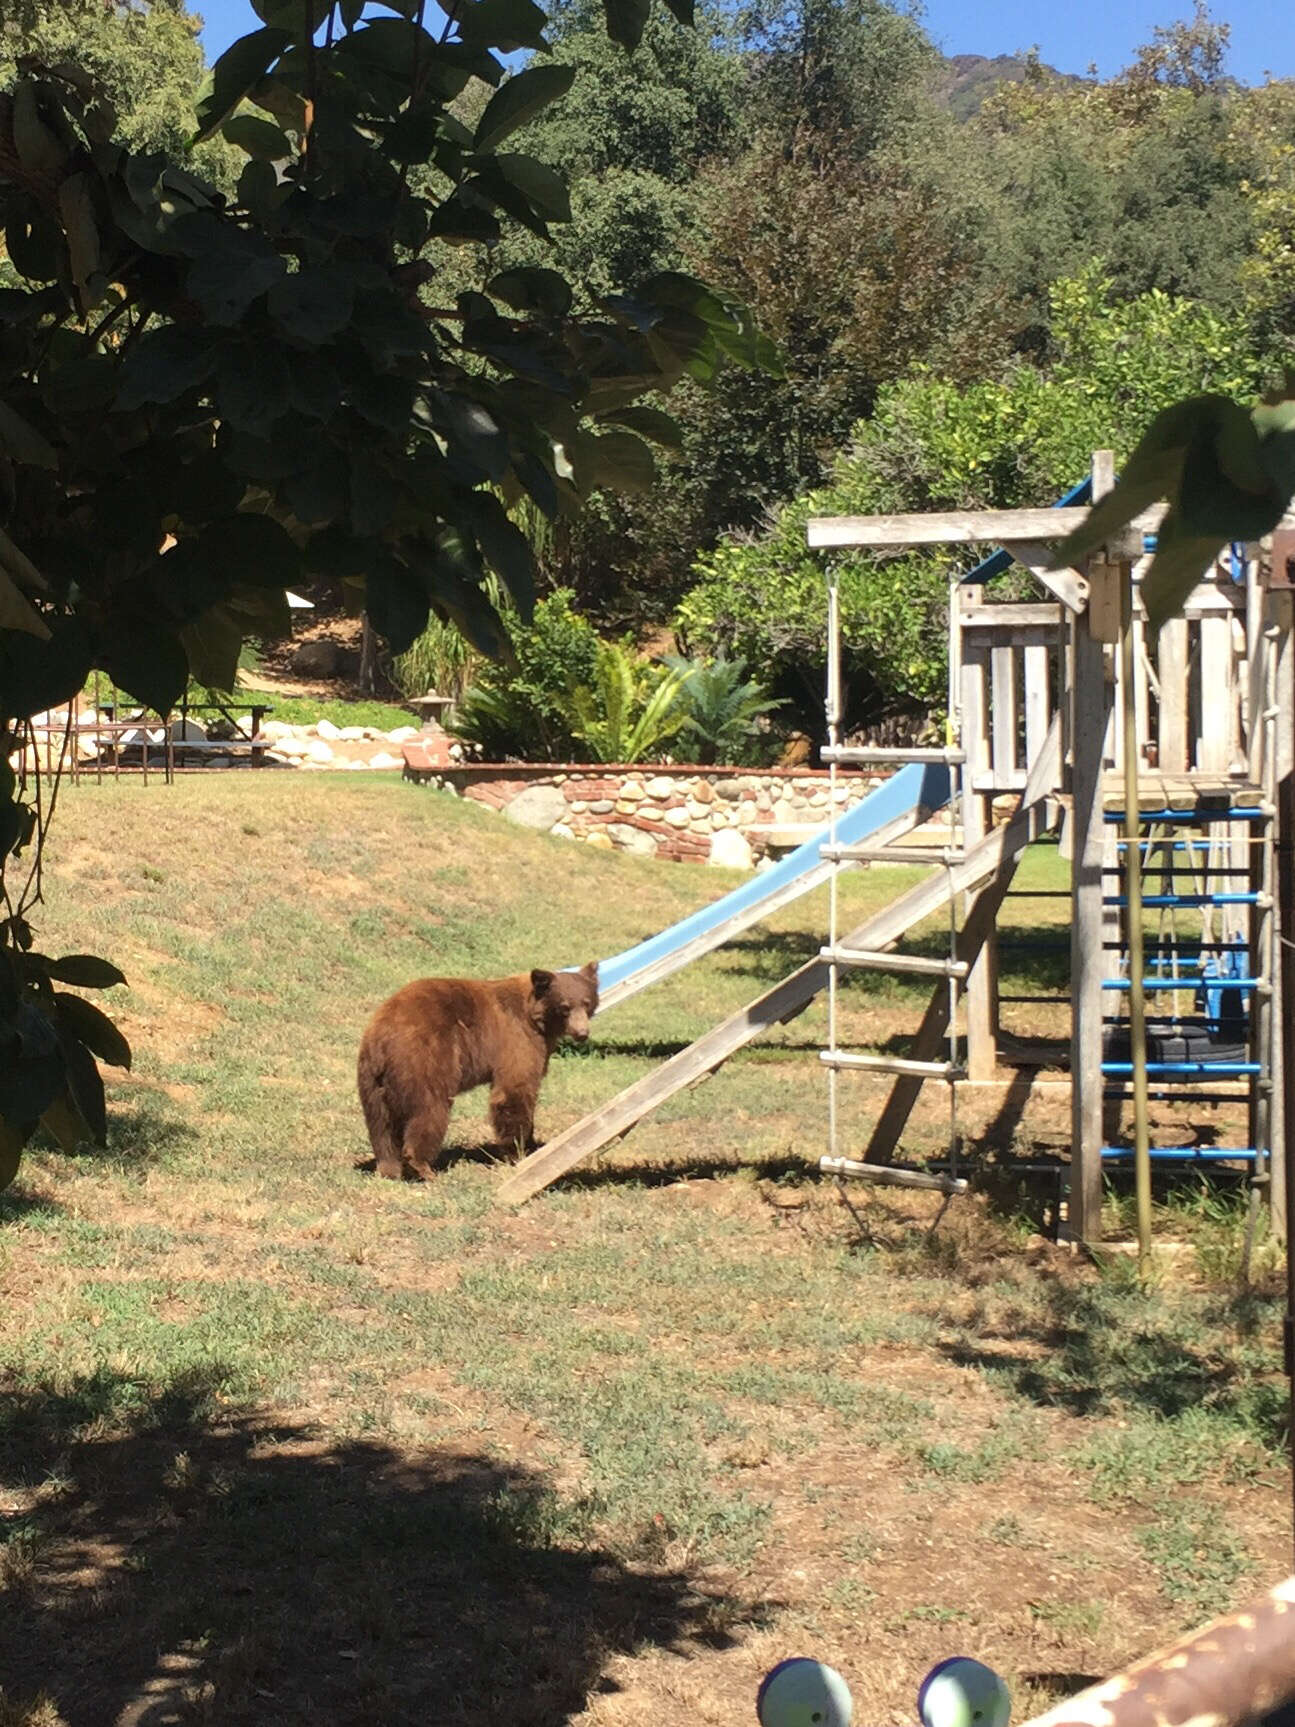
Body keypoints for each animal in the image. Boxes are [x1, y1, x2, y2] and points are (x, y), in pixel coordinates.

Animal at [355, 967, 597, 1181]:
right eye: (565, 1007)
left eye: (587, 1003)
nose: (582, 1033)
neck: (535, 1018)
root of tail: (382, 1036)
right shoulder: (517, 1039)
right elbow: (513, 1092)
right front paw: (517, 1151)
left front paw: (530, 1145)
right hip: (426, 1060)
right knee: (429, 1111)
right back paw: (422, 1167)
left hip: (372, 1079)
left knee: (381, 1124)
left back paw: (389, 1168)